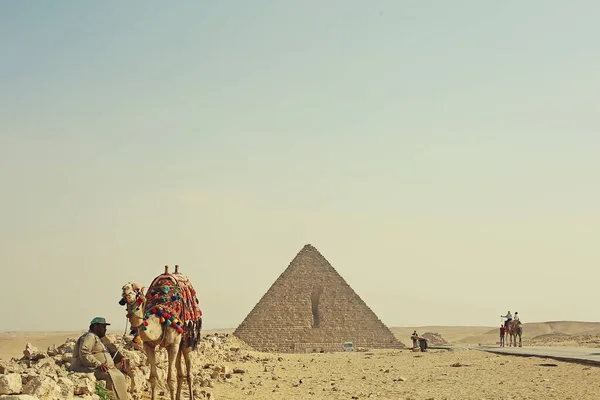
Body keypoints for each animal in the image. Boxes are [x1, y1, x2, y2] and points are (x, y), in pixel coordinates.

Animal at [120, 264, 204, 398]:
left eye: (135, 289)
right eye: (124, 287)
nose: (125, 290)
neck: (160, 315)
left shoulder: (173, 345)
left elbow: (170, 379)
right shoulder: (148, 345)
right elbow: (153, 378)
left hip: (186, 340)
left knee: (189, 374)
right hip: (179, 344)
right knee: (180, 374)